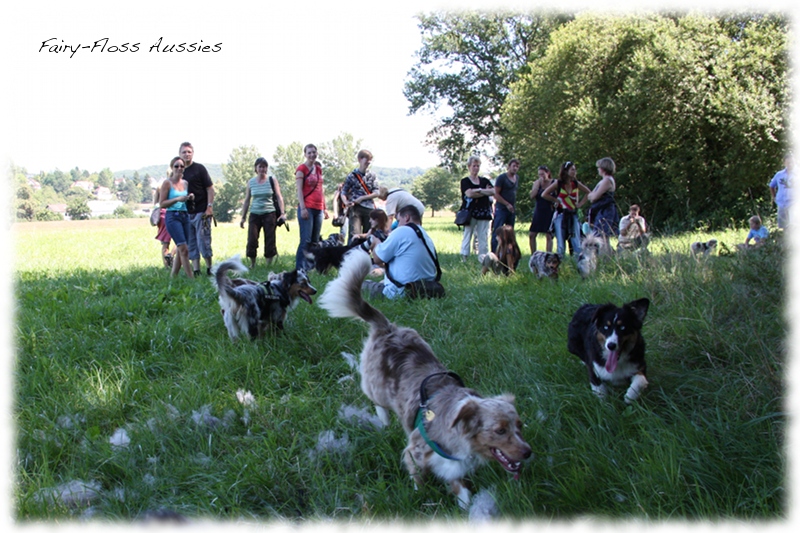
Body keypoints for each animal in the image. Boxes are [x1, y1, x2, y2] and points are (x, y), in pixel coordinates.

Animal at [318, 251, 532, 510]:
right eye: (500, 430)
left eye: (519, 425)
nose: (528, 452)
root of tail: (388, 328)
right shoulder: (415, 452)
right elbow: (418, 479)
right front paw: (420, 497)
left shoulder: (454, 464)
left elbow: (460, 487)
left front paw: (465, 504)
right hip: (375, 385)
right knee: (377, 401)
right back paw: (384, 420)